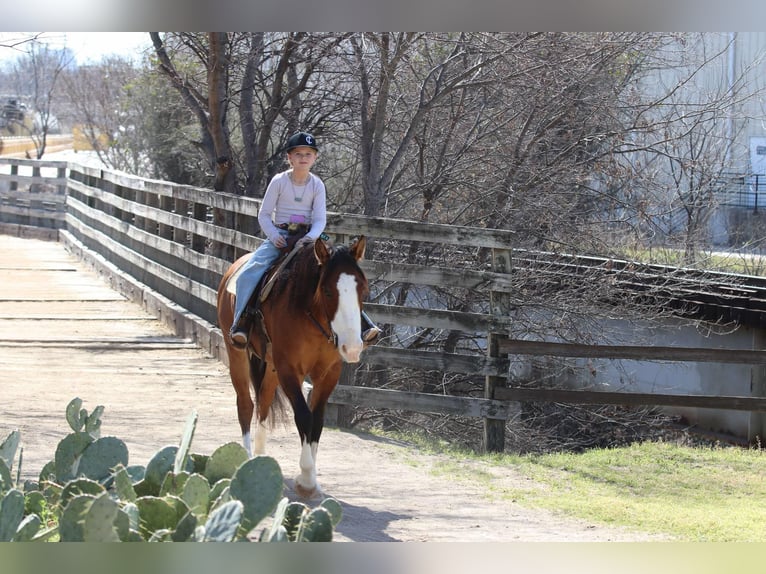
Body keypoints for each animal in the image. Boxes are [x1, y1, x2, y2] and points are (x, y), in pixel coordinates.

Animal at [216, 235, 369, 498]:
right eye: (327, 291)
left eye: (362, 288)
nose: (352, 347)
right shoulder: (289, 369)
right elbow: (304, 417)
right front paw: (306, 479)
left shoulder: (329, 374)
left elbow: (317, 420)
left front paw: (312, 478)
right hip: (237, 354)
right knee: (246, 405)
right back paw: (246, 458)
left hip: (271, 367)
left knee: (264, 403)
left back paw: (259, 457)